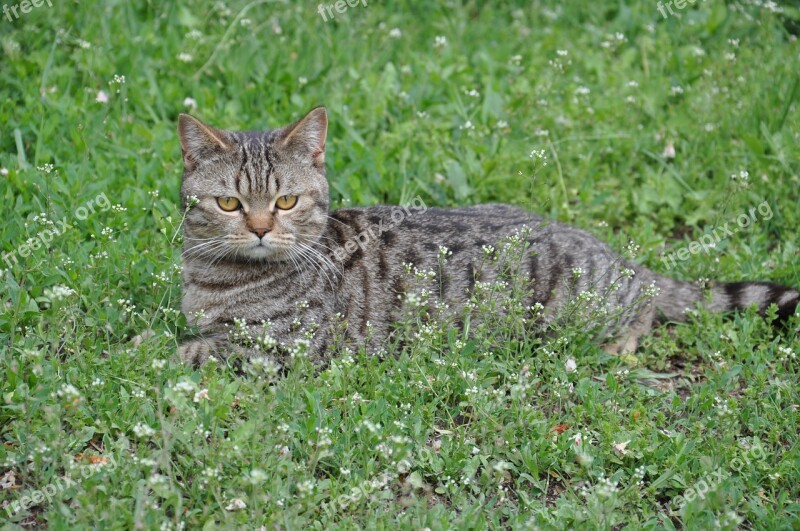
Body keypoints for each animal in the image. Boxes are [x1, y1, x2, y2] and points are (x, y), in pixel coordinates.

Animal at [177, 106, 800, 368]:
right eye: (230, 203)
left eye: (285, 202)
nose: (261, 228)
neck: (214, 280)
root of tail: (620, 258)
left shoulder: (282, 347)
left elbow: (190, 350)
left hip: (582, 308)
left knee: (643, 311)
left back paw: (615, 345)